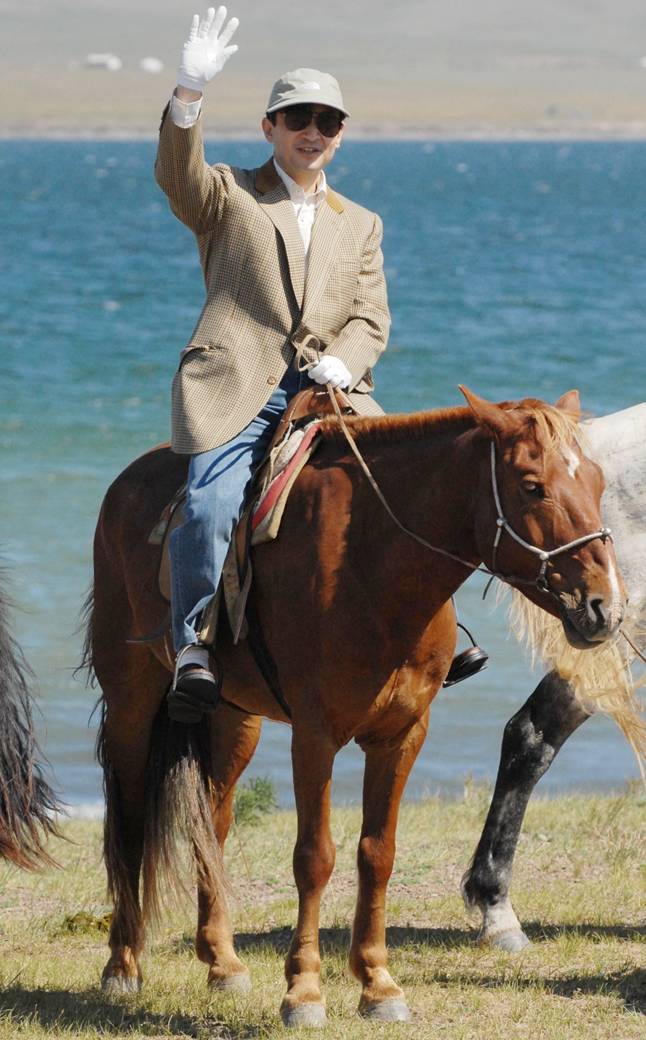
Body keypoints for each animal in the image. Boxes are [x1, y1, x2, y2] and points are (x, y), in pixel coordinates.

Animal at [84, 387, 626, 1026]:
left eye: (597, 481)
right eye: (532, 485)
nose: (605, 607)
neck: (370, 565)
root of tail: (127, 482)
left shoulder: (402, 734)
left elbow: (378, 853)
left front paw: (378, 984)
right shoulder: (315, 736)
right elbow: (315, 857)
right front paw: (304, 992)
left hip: (233, 718)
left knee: (211, 824)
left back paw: (222, 963)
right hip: (132, 701)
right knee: (130, 818)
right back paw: (122, 967)